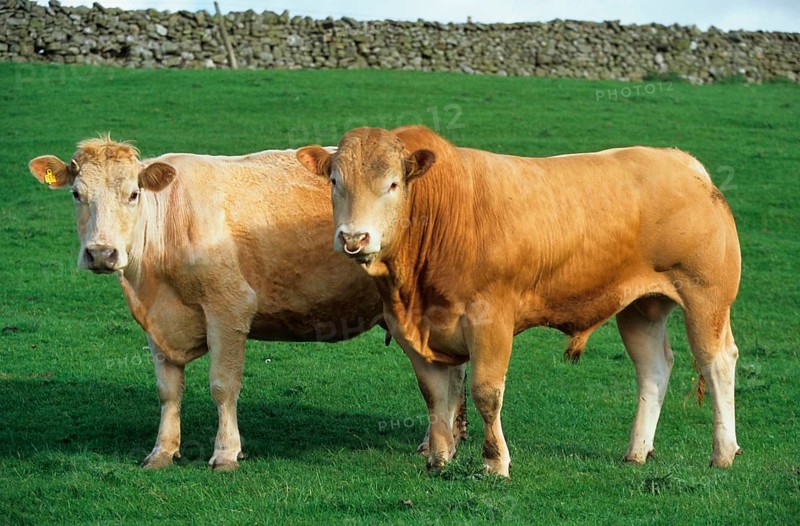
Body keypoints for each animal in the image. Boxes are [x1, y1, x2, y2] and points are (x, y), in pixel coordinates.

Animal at [28, 136, 467, 471]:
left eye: (133, 194)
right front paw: (162, 452)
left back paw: (438, 445)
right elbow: (168, 390)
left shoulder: (229, 308)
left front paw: (225, 453)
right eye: (76, 194)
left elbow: (223, 386)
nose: (101, 253)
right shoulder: (158, 321)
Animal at [297, 125, 742, 477]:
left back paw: (722, 453)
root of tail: (681, 161)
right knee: (653, 367)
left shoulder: (490, 321)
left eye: (392, 184)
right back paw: (637, 451)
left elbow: (485, 392)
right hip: (640, 307)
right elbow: (434, 395)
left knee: (716, 362)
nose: (354, 238)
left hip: (706, 296)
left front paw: (495, 462)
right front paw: (438, 459)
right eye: (334, 181)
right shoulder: (412, 329)